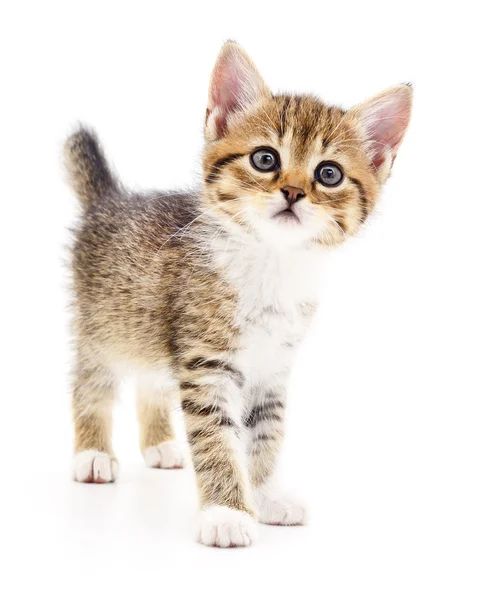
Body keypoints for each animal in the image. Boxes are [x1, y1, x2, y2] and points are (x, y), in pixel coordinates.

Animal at [64, 42, 412, 548]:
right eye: (265, 159)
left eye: (328, 174)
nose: (293, 192)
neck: (271, 263)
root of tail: (108, 200)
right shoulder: (207, 364)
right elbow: (217, 439)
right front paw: (226, 513)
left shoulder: (272, 367)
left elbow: (265, 433)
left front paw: (265, 495)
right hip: (103, 322)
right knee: (91, 381)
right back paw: (91, 453)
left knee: (151, 380)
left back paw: (160, 444)